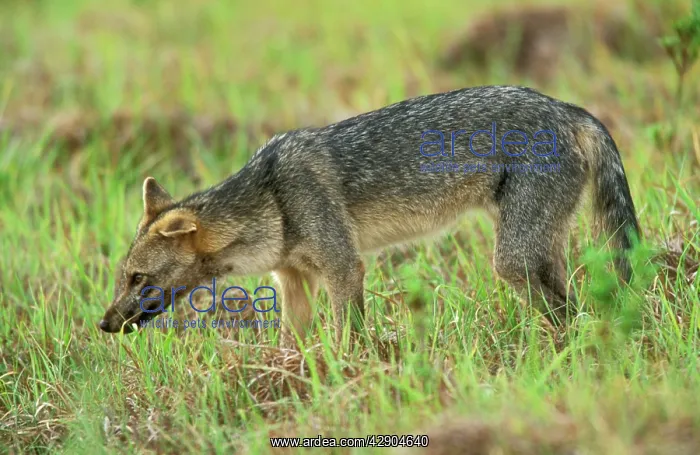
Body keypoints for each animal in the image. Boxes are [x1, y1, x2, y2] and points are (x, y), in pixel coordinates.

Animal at [99, 85, 640, 345]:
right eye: (123, 277)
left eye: (138, 278)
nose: (103, 325)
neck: (272, 200)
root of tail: (569, 108)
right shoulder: (291, 280)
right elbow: (292, 343)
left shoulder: (344, 267)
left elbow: (346, 336)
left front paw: (352, 374)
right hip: (539, 248)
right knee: (574, 302)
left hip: (513, 259)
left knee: (567, 309)